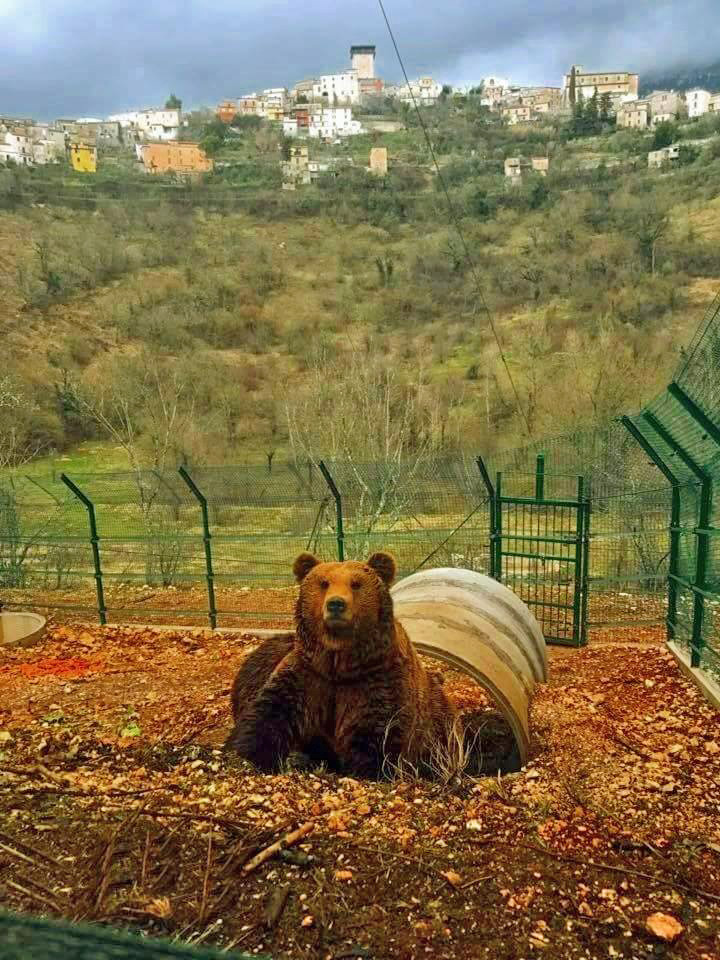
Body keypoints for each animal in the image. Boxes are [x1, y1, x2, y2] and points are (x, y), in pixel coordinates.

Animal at [228, 552, 458, 776]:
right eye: (324, 583)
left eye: (356, 584)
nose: (336, 604)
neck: (339, 663)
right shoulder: (308, 672)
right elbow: (271, 713)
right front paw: (250, 753)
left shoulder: (377, 680)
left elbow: (375, 736)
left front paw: (364, 768)